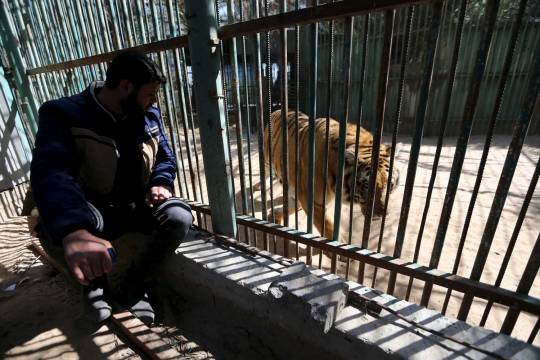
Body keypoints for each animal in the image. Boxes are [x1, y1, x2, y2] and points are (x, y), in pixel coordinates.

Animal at [256, 109, 400, 245]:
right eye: (366, 185)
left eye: (390, 184)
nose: (383, 213)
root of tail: (277, 110)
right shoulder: (313, 200)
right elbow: (329, 230)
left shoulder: (300, 193)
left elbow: (290, 207)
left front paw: (275, 214)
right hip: (267, 157)